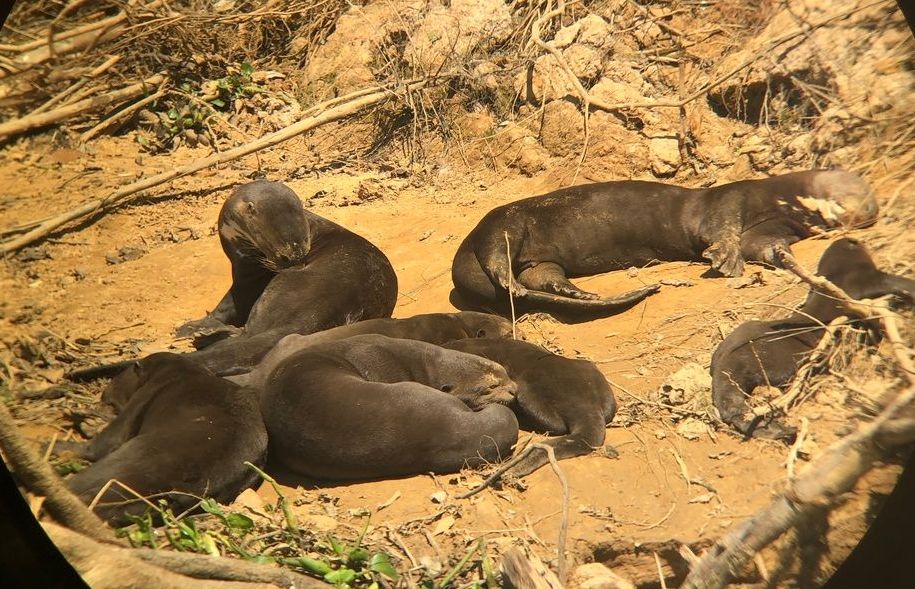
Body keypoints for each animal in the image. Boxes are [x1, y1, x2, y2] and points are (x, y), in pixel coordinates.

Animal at [52, 352, 268, 524]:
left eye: (117, 379)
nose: (104, 392)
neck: (180, 370)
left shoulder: (141, 398)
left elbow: (103, 443)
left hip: (127, 459)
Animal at [454, 170, 876, 316]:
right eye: (854, 188)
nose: (870, 208)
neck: (774, 200)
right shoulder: (731, 199)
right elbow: (722, 229)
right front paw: (725, 260)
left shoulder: (772, 227)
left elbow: (763, 244)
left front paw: (782, 257)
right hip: (502, 222)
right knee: (496, 255)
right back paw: (509, 283)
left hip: (542, 261)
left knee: (543, 276)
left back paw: (580, 294)